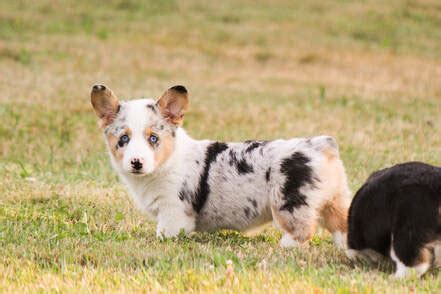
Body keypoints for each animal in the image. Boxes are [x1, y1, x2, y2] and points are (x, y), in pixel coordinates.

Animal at [90, 84, 350, 247]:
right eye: (123, 139)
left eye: (153, 138)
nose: (136, 162)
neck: (168, 161)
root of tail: (321, 145)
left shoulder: (173, 211)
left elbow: (166, 233)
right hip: (334, 199)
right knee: (342, 224)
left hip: (291, 202)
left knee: (303, 229)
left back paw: (286, 245)